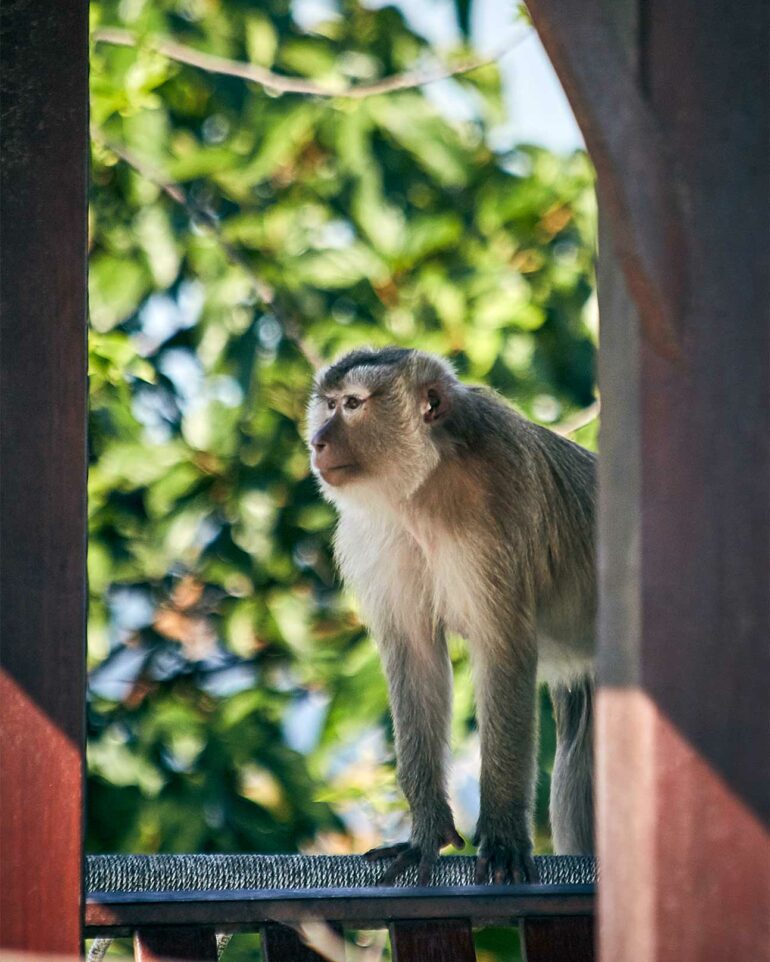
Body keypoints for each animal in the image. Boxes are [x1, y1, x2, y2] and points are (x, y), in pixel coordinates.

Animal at [306, 346, 596, 885]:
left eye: (353, 404)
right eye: (329, 404)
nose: (317, 441)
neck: (427, 484)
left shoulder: (500, 502)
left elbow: (504, 650)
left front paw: (502, 837)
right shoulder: (374, 534)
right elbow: (416, 657)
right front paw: (426, 834)